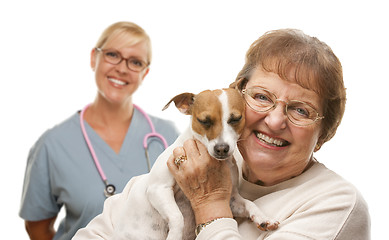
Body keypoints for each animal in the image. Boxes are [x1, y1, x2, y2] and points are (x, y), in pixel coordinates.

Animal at [119, 88, 278, 240]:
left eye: (235, 119)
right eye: (204, 121)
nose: (222, 148)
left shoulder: (232, 199)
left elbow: (249, 203)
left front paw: (263, 218)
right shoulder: (159, 189)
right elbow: (177, 216)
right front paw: (175, 236)